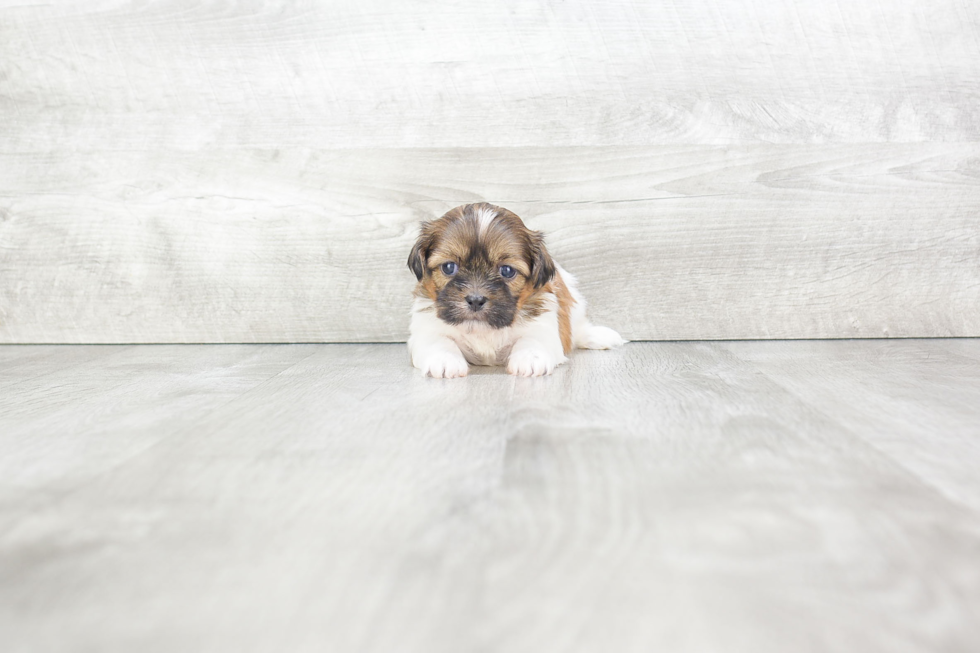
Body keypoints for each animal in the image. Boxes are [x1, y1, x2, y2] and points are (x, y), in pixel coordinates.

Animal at [408, 202, 624, 376]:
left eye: (507, 271)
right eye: (449, 267)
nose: (476, 300)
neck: (483, 330)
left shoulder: (542, 324)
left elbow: (532, 340)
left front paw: (530, 358)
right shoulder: (426, 327)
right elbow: (439, 341)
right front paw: (444, 360)